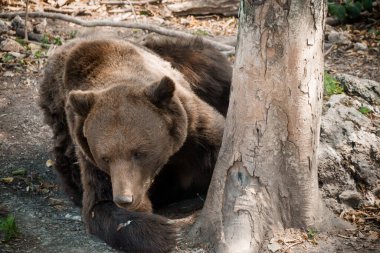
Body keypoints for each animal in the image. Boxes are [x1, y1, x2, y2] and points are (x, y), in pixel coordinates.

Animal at [40, 34, 233, 253]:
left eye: (139, 152)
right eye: (105, 158)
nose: (125, 199)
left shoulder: (195, 130)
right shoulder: (88, 156)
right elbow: (98, 205)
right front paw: (163, 232)